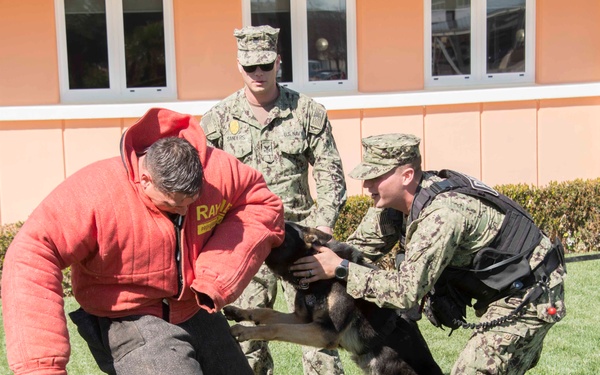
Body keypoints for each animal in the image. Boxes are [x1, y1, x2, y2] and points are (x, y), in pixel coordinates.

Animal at [224, 223, 440, 375]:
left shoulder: (325, 332)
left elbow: (275, 328)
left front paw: (243, 330)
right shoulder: (302, 319)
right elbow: (265, 312)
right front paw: (238, 312)